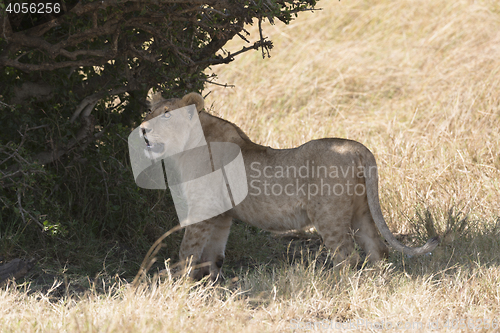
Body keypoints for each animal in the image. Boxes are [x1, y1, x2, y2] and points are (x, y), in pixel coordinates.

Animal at [140, 92, 438, 278]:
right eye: (150, 111)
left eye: (166, 115)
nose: (142, 129)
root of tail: (358, 148)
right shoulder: (221, 214)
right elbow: (213, 255)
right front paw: (209, 285)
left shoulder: (203, 208)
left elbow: (188, 251)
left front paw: (175, 283)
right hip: (361, 210)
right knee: (378, 250)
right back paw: (377, 281)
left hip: (328, 215)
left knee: (347, 256)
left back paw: (334, 286)